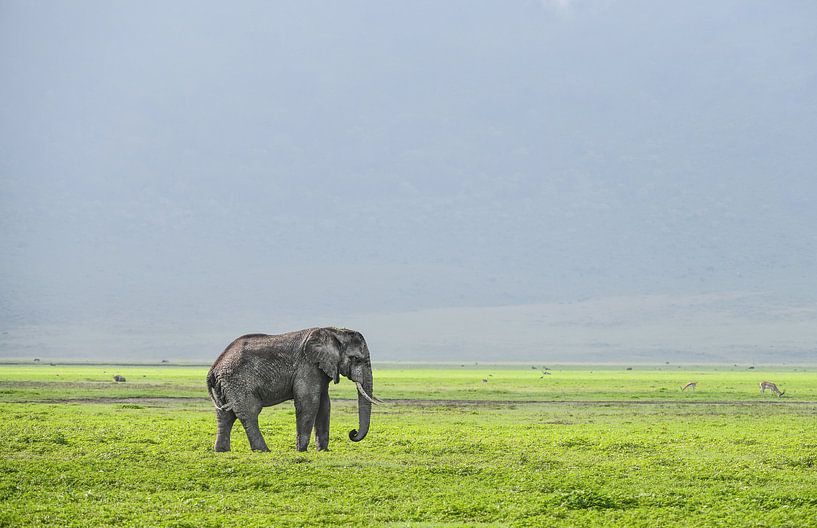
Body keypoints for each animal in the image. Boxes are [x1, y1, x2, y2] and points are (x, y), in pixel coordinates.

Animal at [206, 327, 379, 452]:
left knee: (225, 415)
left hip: (226, 385)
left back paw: (222, 451)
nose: (353, 433)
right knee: (249, 412)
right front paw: (301, 450)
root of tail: (213, 369)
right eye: (356, 359)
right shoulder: (307, 365)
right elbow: (309, 403)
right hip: (238, 382)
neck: (334, 332)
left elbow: (324, 405)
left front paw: (323, 451)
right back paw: (263, 450)